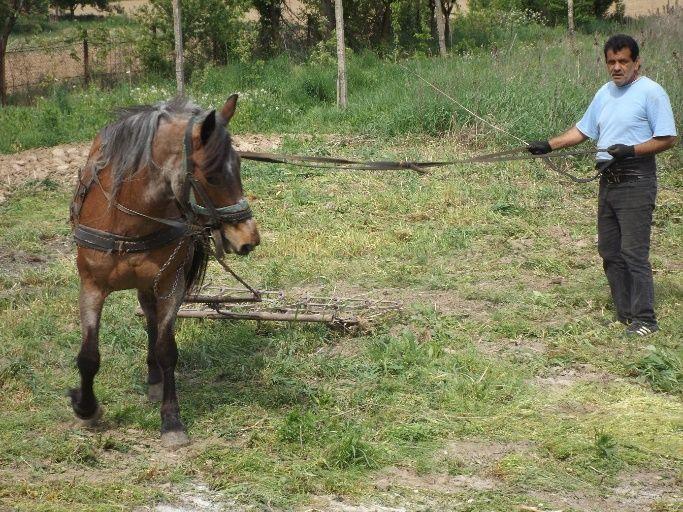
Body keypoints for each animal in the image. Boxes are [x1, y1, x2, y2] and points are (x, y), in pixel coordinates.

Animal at [70, 96, 260, 448]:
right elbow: (88, 355)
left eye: (240, 165)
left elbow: (166, 348)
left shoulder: (170, 284)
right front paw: (86, 407)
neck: (128, 218)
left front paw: (171, 420)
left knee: (152, 321)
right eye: (212, 176)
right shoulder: (91, 286)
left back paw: (155, 379)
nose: (248, 238)